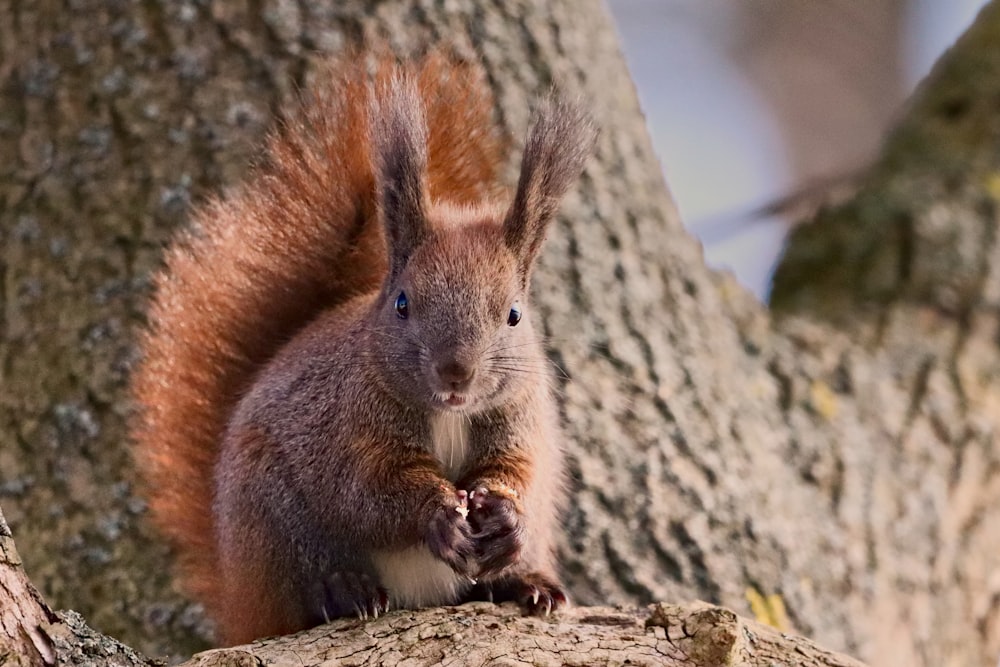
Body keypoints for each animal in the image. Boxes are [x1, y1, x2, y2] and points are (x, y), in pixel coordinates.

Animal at [132, 49, 596, 644]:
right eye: (402, 304)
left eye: (514, 315)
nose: (455, 373)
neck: (449, 414)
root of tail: (241, 600)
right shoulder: (350, 429)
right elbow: (369, 491)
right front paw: (437, 515)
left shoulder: (519, 418)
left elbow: (519, 471)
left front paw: (505, 515)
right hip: (273, 519)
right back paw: (343, 592)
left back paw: (526, 583)